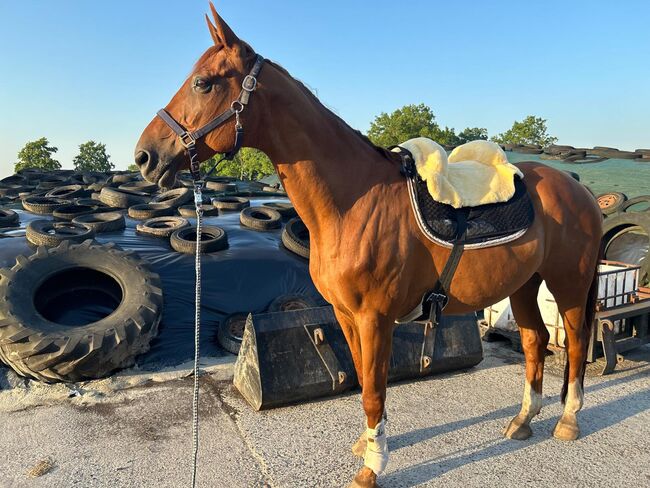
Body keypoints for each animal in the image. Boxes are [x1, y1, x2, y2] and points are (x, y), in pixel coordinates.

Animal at [134, 4, 600, 488]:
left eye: (203, 83)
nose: (145, 156)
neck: (354, 203)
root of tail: (577, 188)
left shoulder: (376, 319)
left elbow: (375, 390)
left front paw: (372, 467)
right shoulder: (346, 315)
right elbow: (361, 380)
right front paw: (368, 444)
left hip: (568, 284)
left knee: (576, 341)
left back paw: (568, 420)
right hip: (525, 284)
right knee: (534, 340)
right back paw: (523, 421)